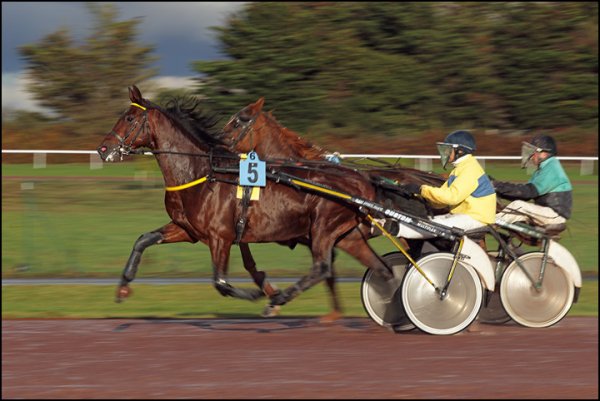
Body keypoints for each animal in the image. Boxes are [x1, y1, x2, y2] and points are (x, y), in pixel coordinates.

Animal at [96, 85, 394, 310]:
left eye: (129, 119)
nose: (103, 148)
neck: (202, 173)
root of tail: (360, 181)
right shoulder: (187, 229)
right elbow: (143, 240)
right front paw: (123, 287)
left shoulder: (220, 236)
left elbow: (220, 282)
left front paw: (261, 292)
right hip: (347, 236)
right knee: (382, 269)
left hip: (323, 228)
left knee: (322, 267)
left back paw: (280, 299)